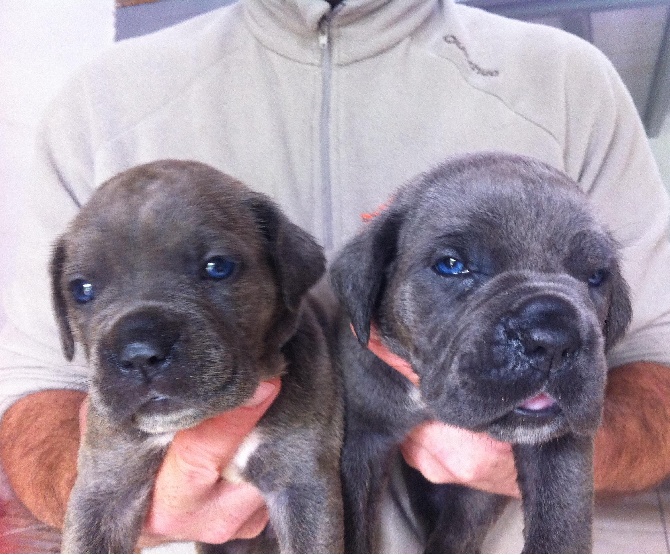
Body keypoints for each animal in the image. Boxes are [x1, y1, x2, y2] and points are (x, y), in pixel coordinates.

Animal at [332, 153, 636, 555]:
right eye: (451, 265)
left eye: (597, 276)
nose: (551, 338)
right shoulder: (363, 438)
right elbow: (354, 521)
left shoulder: (558, 445)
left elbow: (561, 519)